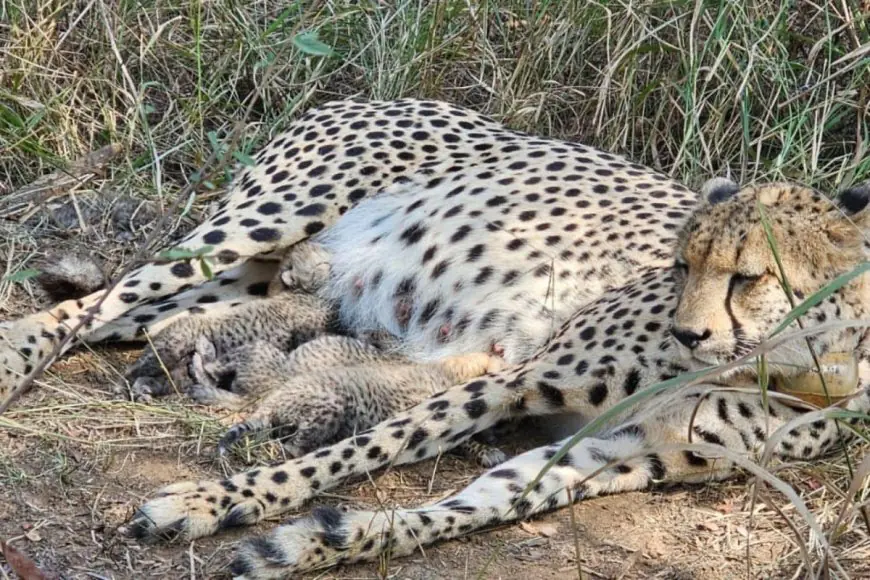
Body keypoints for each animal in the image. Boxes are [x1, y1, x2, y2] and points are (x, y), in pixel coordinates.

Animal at [0, 98, 867, 579]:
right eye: (685, 263)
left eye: (749, 276)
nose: (689, 332)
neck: (795, 363)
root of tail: (365, 95)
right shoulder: (519, 378)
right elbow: (365, 450)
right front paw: (218, 502)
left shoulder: (623, 452)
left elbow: (471, 504)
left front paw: (320, 543)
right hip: (260, 223)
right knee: (98, 300)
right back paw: (13, 360)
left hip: (252, 280)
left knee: (139, 317)